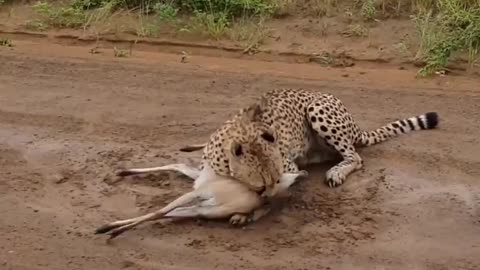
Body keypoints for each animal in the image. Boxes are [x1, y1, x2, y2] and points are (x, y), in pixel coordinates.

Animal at [115, 88, 438, 224]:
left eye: (272, 182)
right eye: (259, 186)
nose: (265, 198)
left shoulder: (288, 168)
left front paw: (247, 214)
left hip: (319, 112)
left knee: (355, 157)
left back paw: (337, 172)